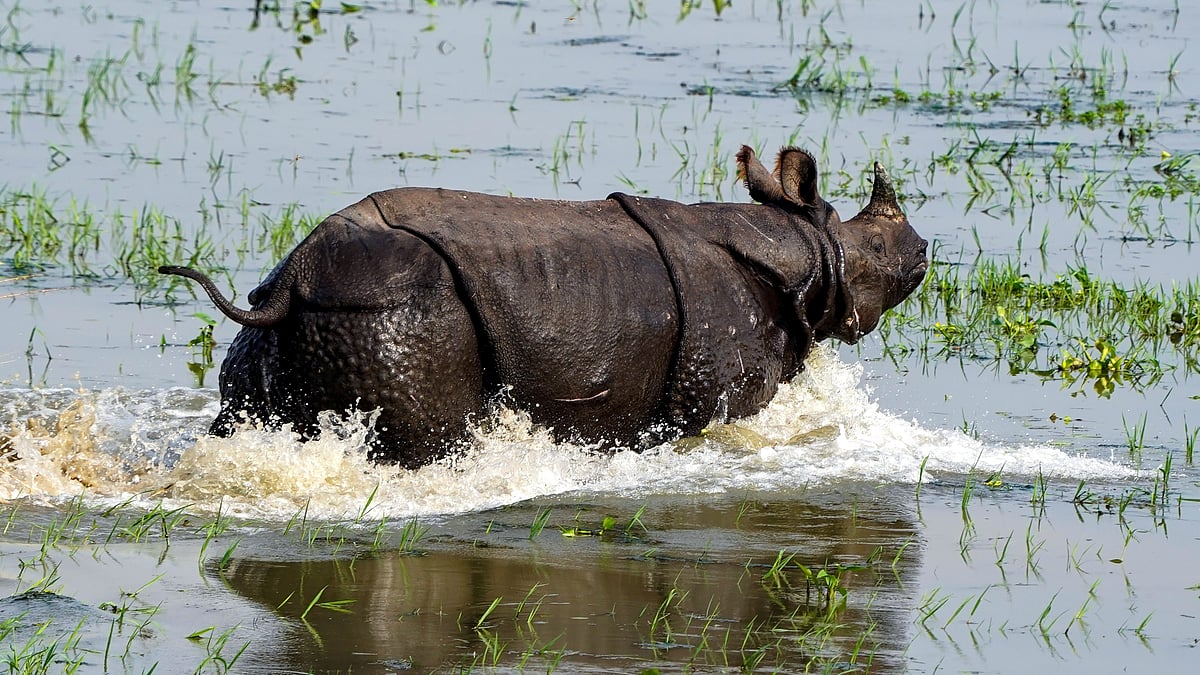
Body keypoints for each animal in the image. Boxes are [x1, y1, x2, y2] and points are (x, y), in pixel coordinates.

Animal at [160, 145, 927, 467]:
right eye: (878, 245)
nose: (923, 250)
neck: (807, 250)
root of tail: (296, 278)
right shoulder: (715, 391)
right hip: (393, 314)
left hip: (291, 315)